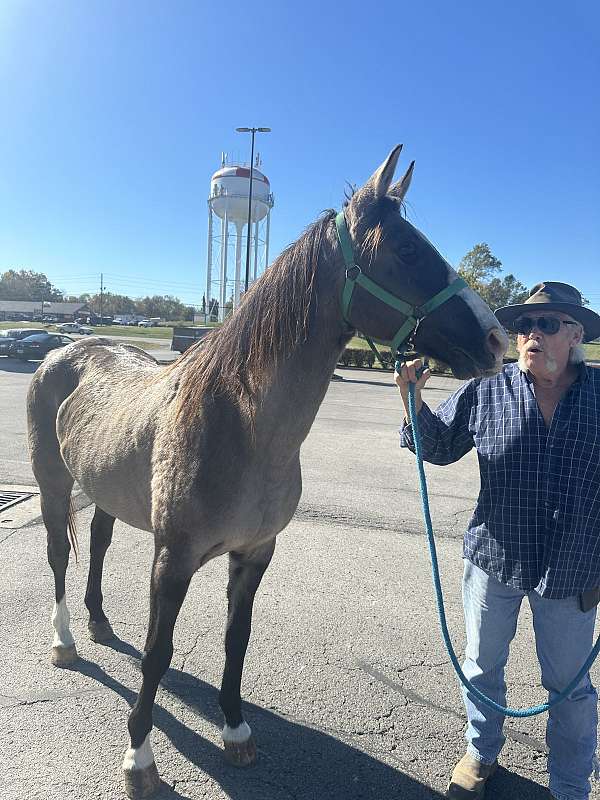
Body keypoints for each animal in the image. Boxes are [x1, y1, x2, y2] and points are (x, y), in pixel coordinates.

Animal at [25, 147, 508, 796]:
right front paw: (140, 758)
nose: (497, 339)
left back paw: (99, 622)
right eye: (408, 250)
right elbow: (158, 651)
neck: (239, 423)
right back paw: (66, 642)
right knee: (58, 556)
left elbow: (236, 640)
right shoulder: (172, 561)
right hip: (52, 486)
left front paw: (235, 731)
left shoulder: (255, 553)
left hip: (106, 489)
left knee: (97, 543)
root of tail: (64, 349)